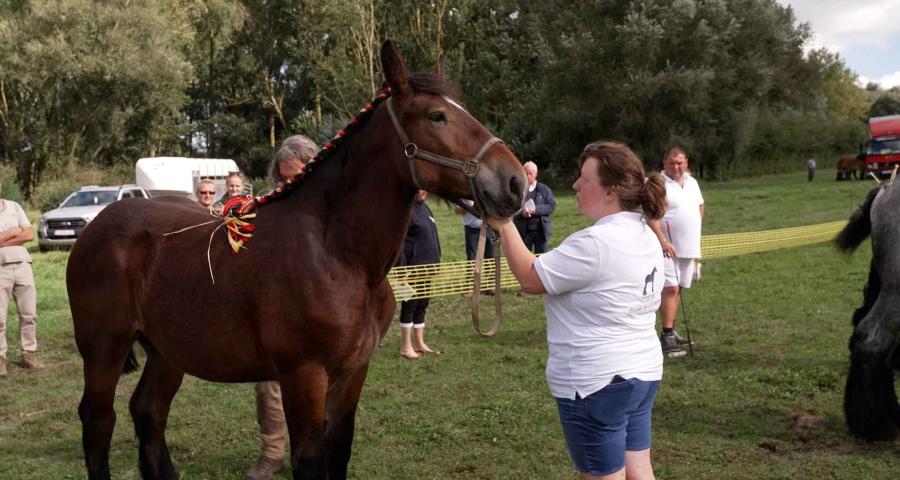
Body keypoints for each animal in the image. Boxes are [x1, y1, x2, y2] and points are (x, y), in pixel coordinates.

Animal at [68, 42, 528, 480]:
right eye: (437, 116)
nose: (515, 182)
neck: (338, 255)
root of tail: (95, 227)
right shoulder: (302, 374)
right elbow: (308, 460)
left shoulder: (353, 372)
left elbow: (338, 451)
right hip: (104, 347)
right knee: (98, 419)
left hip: (167, 351)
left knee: (148, 412)